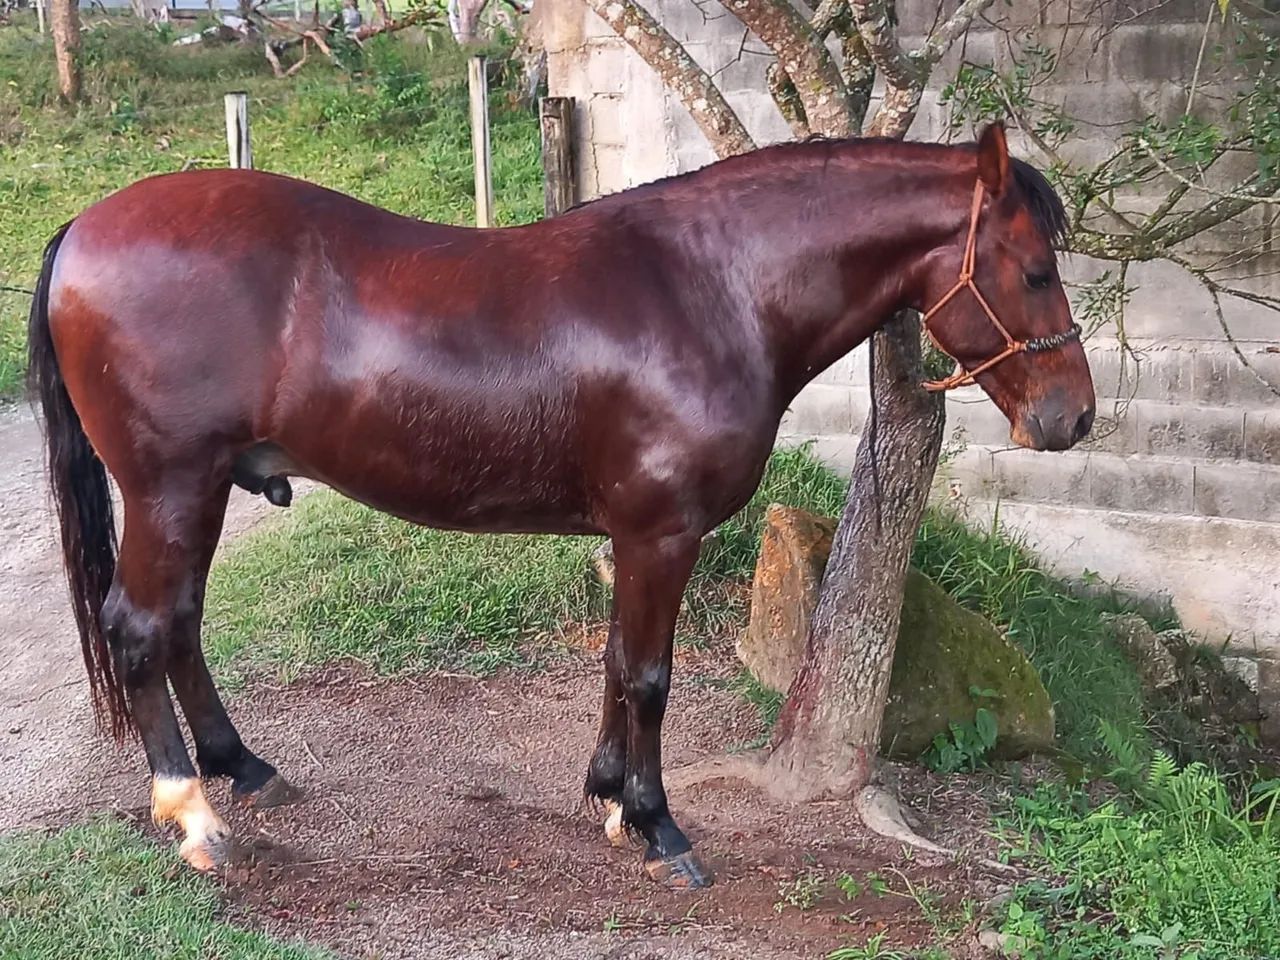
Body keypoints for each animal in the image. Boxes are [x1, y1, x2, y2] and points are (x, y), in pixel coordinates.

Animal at [28, 122, 1093, 890]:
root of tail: (85, 228)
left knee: (180, 624)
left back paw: (243, 768)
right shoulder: (663, 533)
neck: (710, 289)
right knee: (141, 627)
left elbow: (619, 663)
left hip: (197, 493)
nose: (1073, 415)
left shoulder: (633, 535)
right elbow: (652, 675)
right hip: (170, 488)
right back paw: (194, 815)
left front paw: (610, 796)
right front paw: (659, 826)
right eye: (1036, 270)